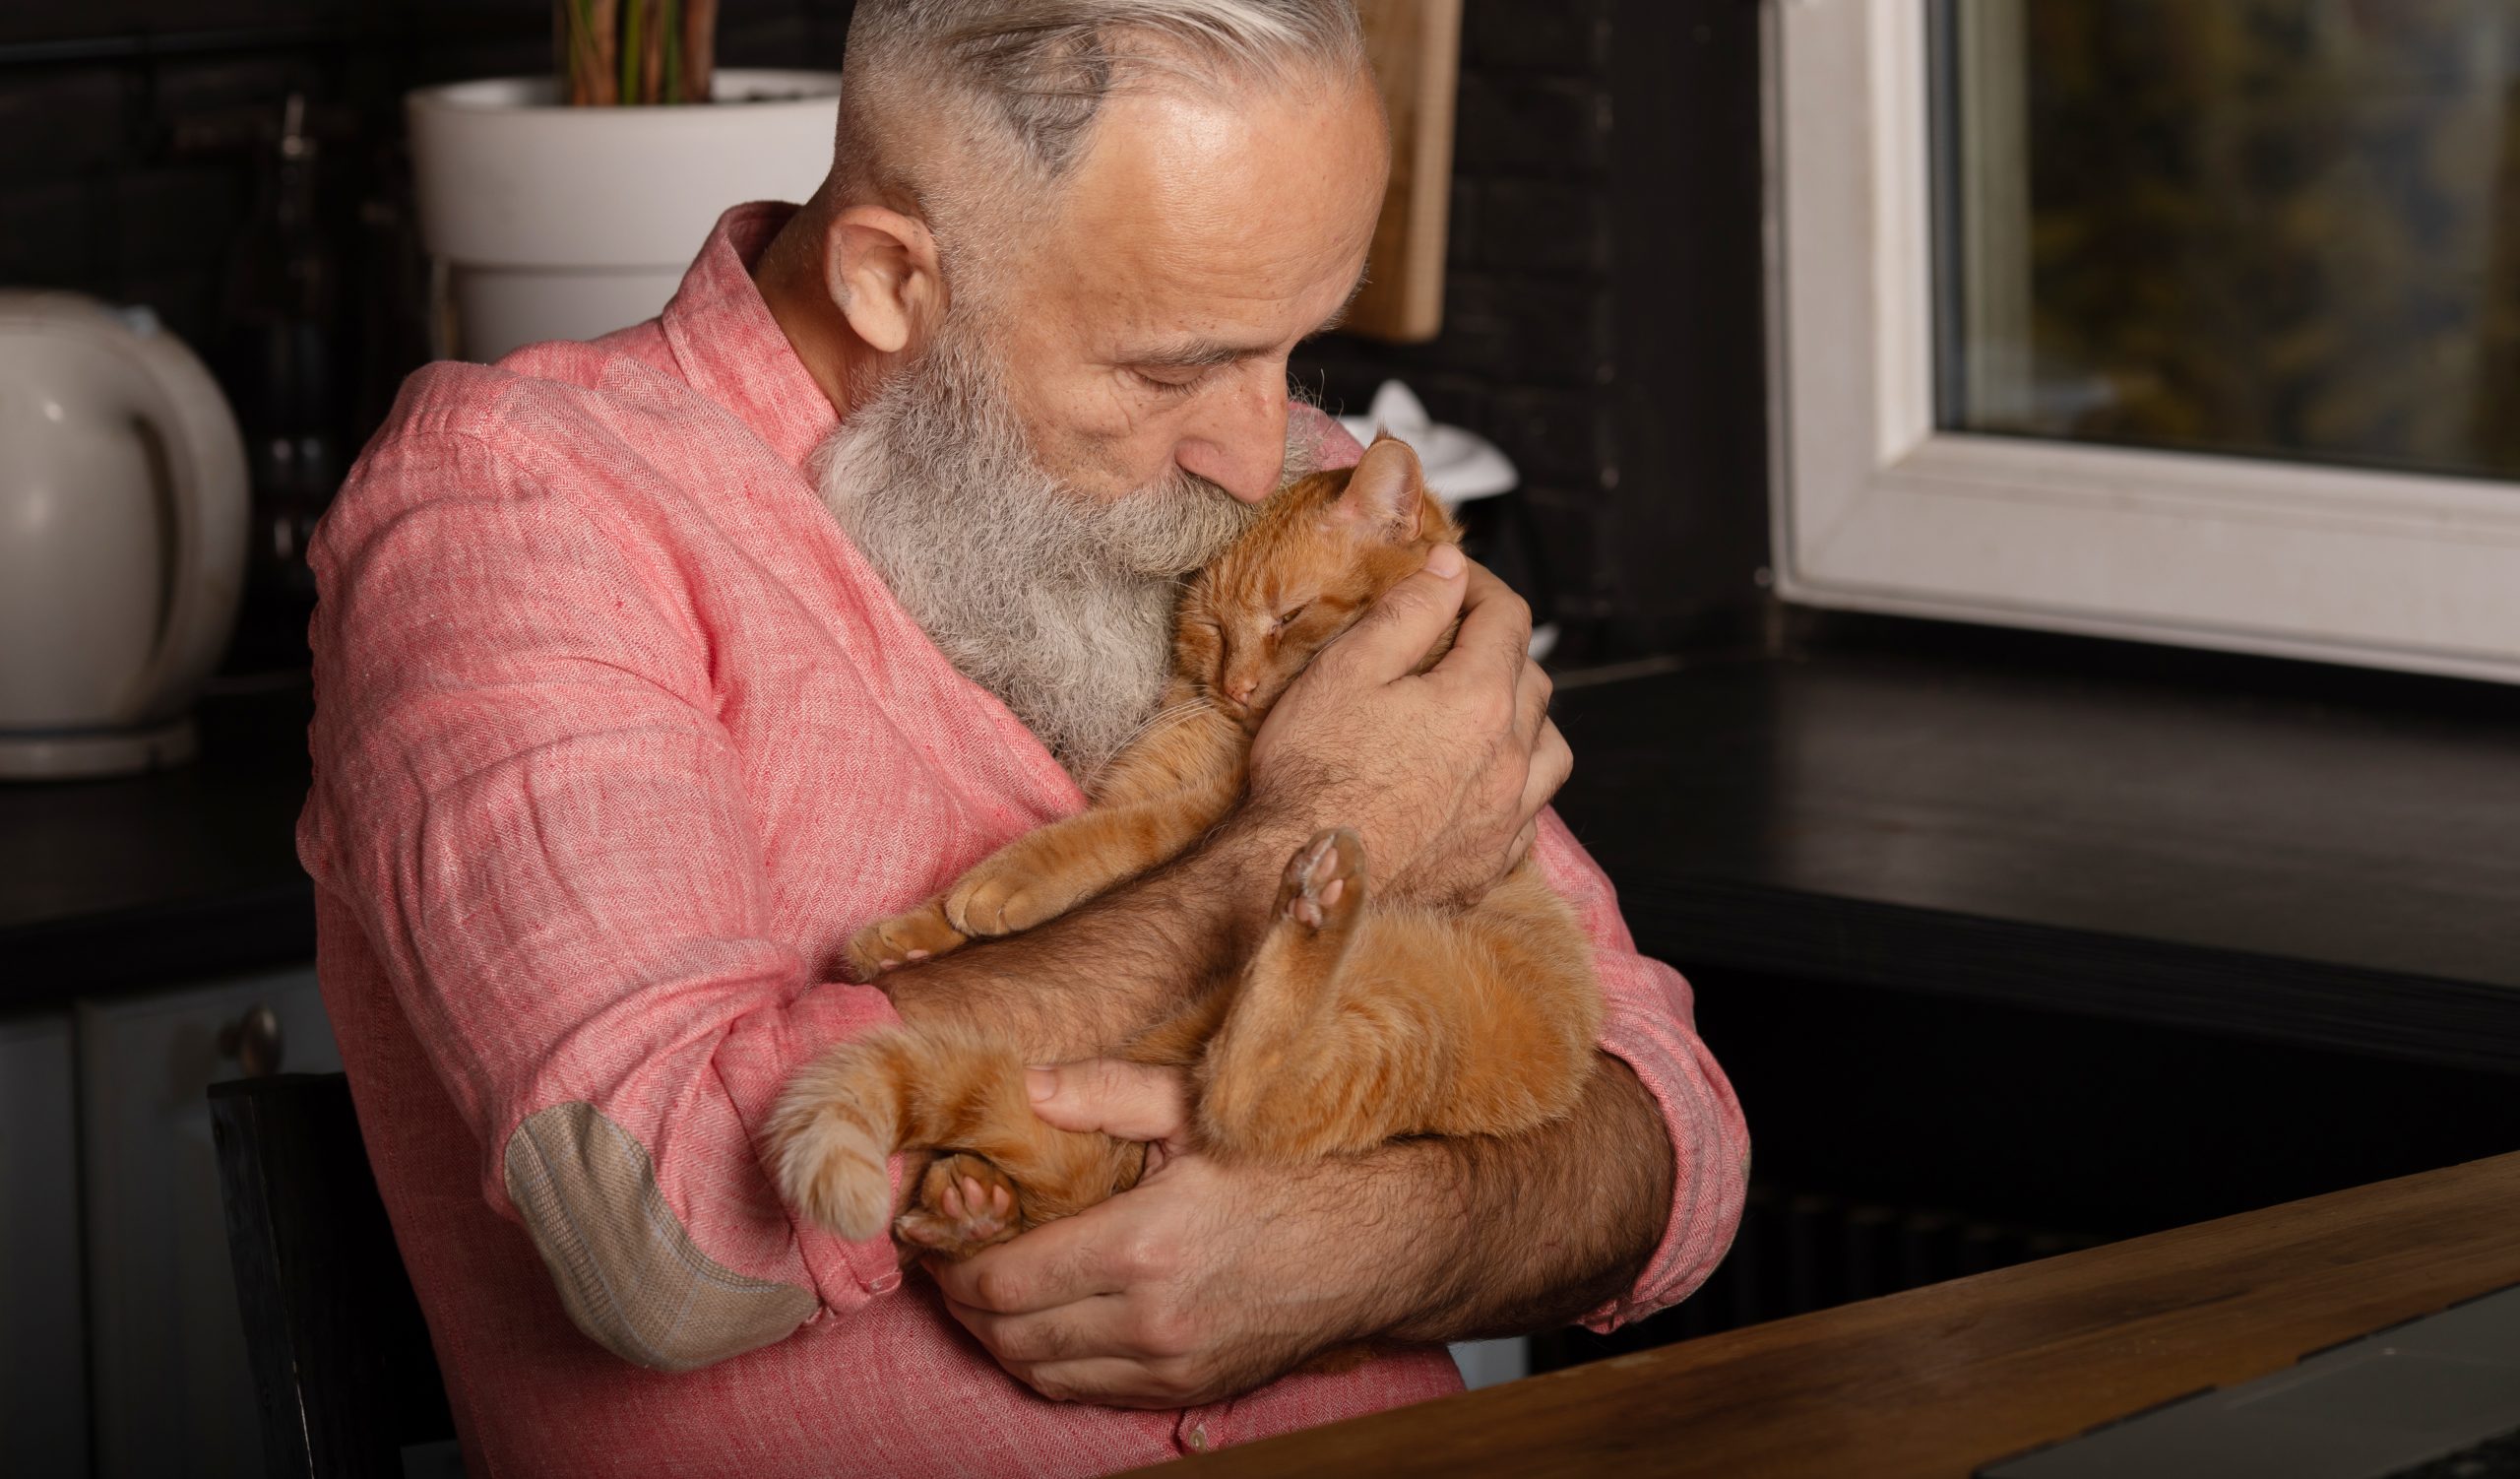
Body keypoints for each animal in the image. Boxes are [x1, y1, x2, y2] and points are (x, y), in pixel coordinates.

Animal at [761, 435, 1612, 1259]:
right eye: (1213, 632)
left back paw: (1320, 906)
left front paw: (999, 886)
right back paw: (969, 1207)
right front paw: (907, 937)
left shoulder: (1201, 807)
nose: (1237, 688)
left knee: (1250, 1098)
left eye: (1288, 617)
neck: (1216, 728)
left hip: (1410, 1014)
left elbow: (1093, 840)